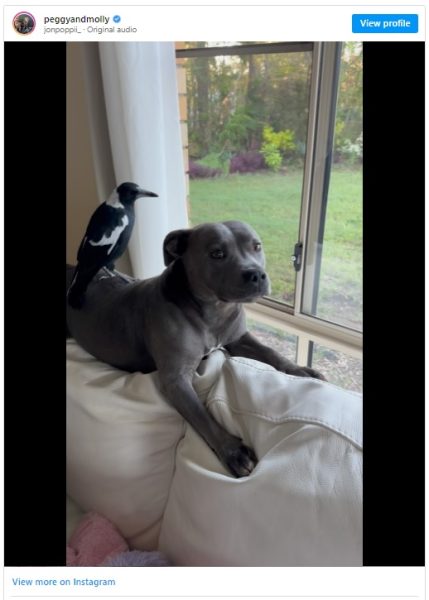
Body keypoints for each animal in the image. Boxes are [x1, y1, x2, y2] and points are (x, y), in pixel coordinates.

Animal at [66, 221, 324, 477]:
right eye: (216, 253)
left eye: (257, 246)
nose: (256, 274)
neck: (214, 311)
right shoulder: (176, 380)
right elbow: (202, 415)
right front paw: (232, 451)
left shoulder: (237, 339)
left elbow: (270, 352)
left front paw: (300, 370)